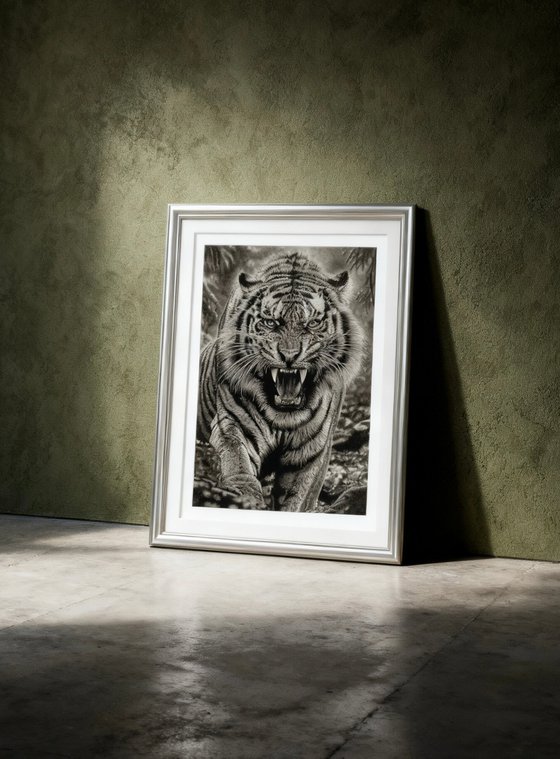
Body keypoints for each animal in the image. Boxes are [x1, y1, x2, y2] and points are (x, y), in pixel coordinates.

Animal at [196, 251, 363, 512]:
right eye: (270, 323)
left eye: (312, 323)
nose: (289, 355)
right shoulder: (234, 422)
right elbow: (238, 461)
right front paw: (244, 498)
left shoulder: (311, 451)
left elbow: (296, 497)